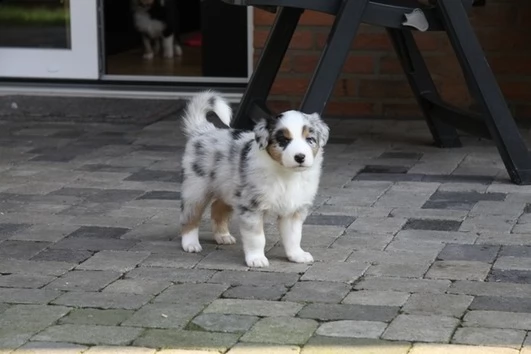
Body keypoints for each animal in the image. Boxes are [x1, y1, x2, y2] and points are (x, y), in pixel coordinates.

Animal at [180, 90, 328, 266]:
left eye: (309, 139)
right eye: (283, 140)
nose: (300, 157)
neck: (286, 174)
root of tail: (203, 131)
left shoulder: (293, 209)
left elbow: (293, 236)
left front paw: (297, 255)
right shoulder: (251, 206)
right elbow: (257, 238)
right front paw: (257, 259)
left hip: (229, 188)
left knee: (217, 207)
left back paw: (223, 236)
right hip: (197, 188)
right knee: (190, 215)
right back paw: (190, 244)